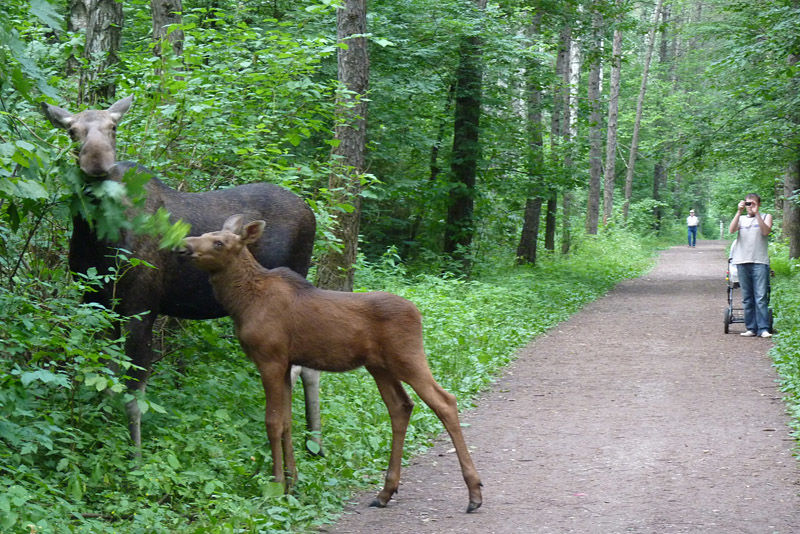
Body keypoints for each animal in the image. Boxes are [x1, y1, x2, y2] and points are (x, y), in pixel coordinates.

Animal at [40, 96, 322, 452]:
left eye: (113, 127)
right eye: (72, 131)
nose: (97, 162)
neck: (96, 236)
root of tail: (311, 213)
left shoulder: (141, 305)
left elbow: (134, 395)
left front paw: (134, 455)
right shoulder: (98, 302)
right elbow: (107, 377)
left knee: (299, 368)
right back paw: (314, 442)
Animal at [181, 215, 482, 516]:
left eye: (219, 243)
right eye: (204, 235)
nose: (185, 245)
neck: (241, 303)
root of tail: (418, 314)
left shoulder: (270, 359)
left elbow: (273, 422)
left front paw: (276, 486)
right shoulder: (287, 363)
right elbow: (288, 422)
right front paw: (293, 485)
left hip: (407, 357)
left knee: (445, 401)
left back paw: (474, 493)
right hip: (379, 366)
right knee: (401, 406)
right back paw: (385, 492)